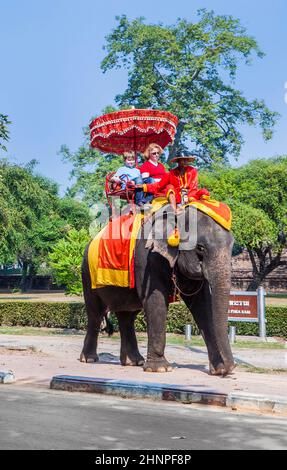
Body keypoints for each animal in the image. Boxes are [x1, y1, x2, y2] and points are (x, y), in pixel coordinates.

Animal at [80, 204, 236, 376]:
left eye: (232, 246)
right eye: (200, 248)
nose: (230, 368)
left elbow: (203, 306)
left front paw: (217, 370)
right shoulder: (147, 258)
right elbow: (155, 300)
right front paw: (160, 369)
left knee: (127, 316)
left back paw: (134, 361)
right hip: (87, 275)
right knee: (95, 313)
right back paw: (89, 359)